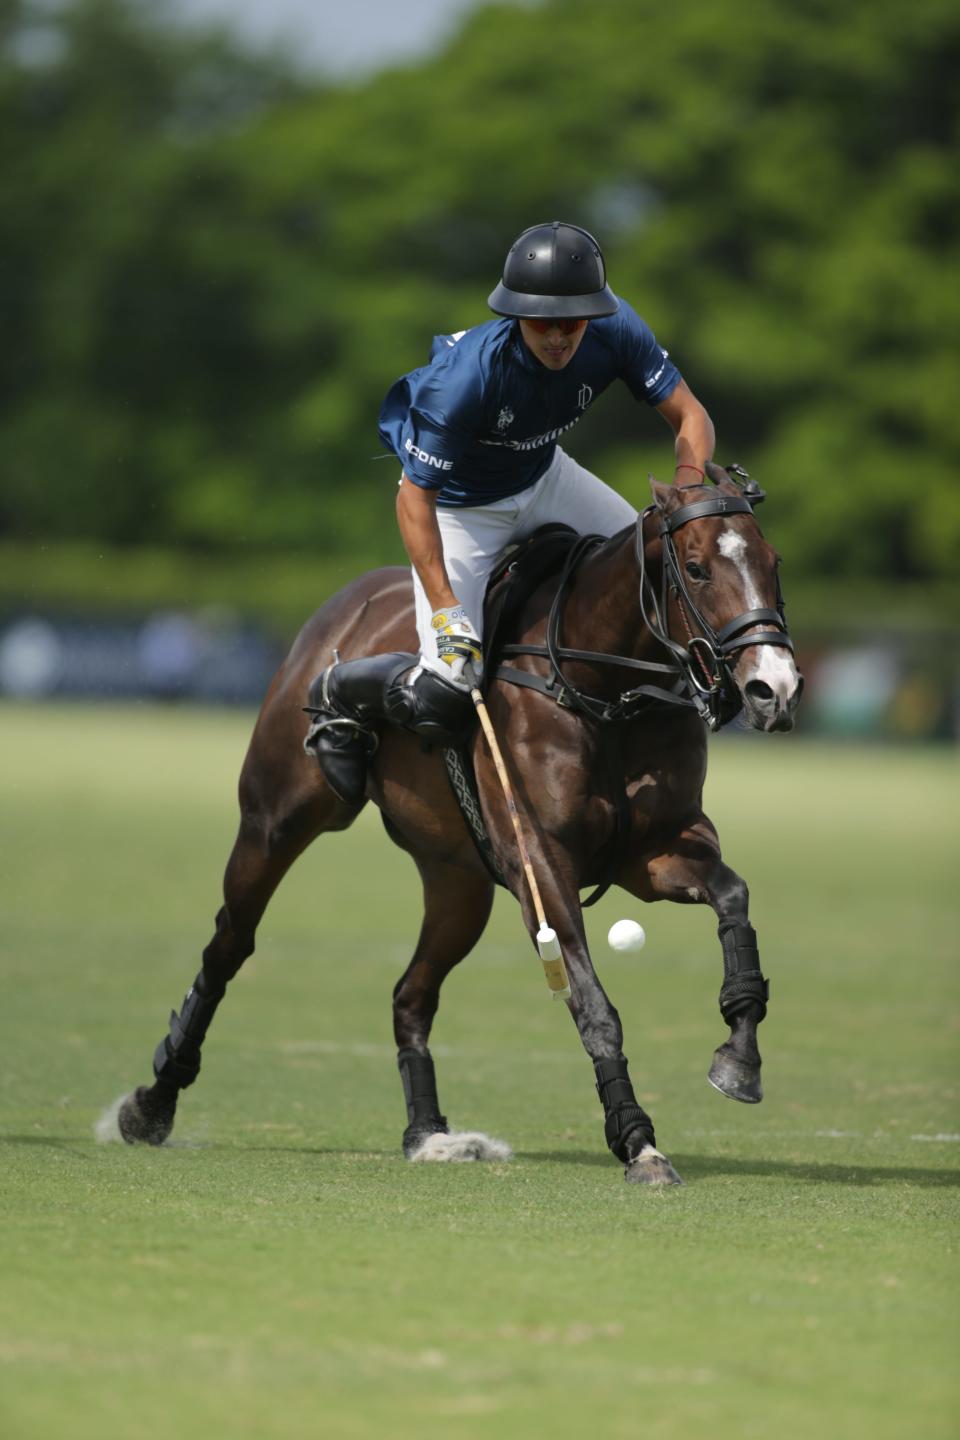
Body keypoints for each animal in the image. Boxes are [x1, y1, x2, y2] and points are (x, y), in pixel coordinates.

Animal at [114, 466, 805, 1186]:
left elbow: (733, 895)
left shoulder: (654, 852)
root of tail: (349, 598)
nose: (774, 690)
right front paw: (638, 1141)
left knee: (410, 994)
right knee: (228, 947)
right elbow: (594, 1006)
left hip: (458, 882)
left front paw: (739, 1057)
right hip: (273, 822)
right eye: (695, 568)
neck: (602, 689)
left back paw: (428, 1134)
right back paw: (150, 1105)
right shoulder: (542, 865)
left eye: (774, 562)